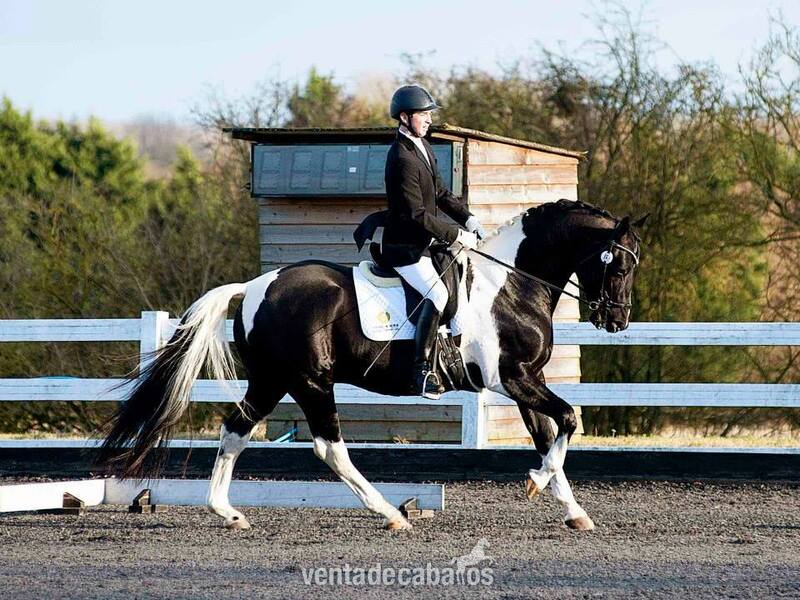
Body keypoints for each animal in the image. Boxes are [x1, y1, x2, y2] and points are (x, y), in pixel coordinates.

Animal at [99, 199, 645, 532]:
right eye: (618, 264)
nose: (616, 321)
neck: (509, 287)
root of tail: (256, 286)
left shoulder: (525, 381)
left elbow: (550, 435)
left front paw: (572, 510)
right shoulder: (512, 378)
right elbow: (568, 420)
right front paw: (536, 482)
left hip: (273, 380)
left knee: (235, 429)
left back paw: (227, 512)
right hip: (311, 381)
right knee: (329, 447)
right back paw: (390, 513)